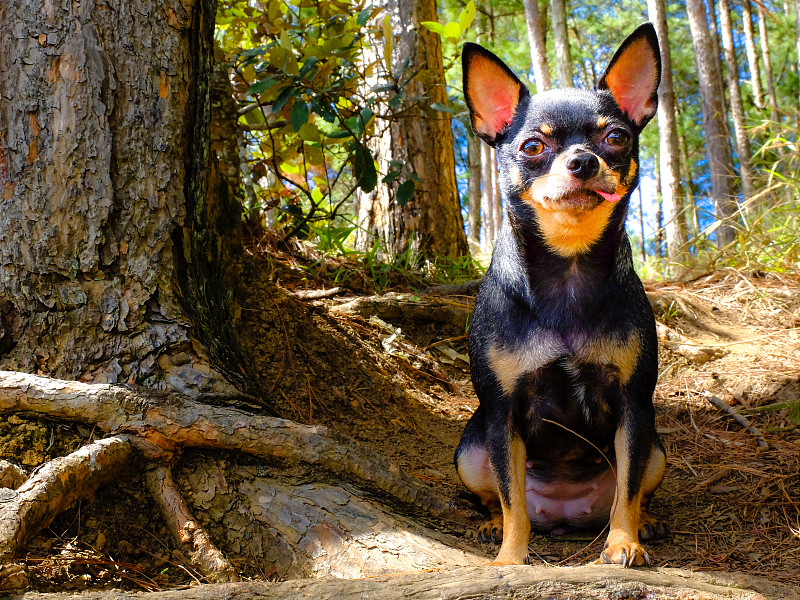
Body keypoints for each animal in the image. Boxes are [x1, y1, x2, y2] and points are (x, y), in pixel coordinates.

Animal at [456, 23, 668, 568]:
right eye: (532, 146)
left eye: (616, 138)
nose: (582, 160)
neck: (568, 266)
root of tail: (563, 515)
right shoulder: (502, 412)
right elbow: (511, 498)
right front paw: (510, 559)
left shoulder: (635, 407)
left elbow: (627, 488)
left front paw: (623, 544)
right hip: (470, 448)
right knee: (495, 495)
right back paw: (492, 525)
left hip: (657, 448)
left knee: (634, 488)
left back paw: (645, 523)